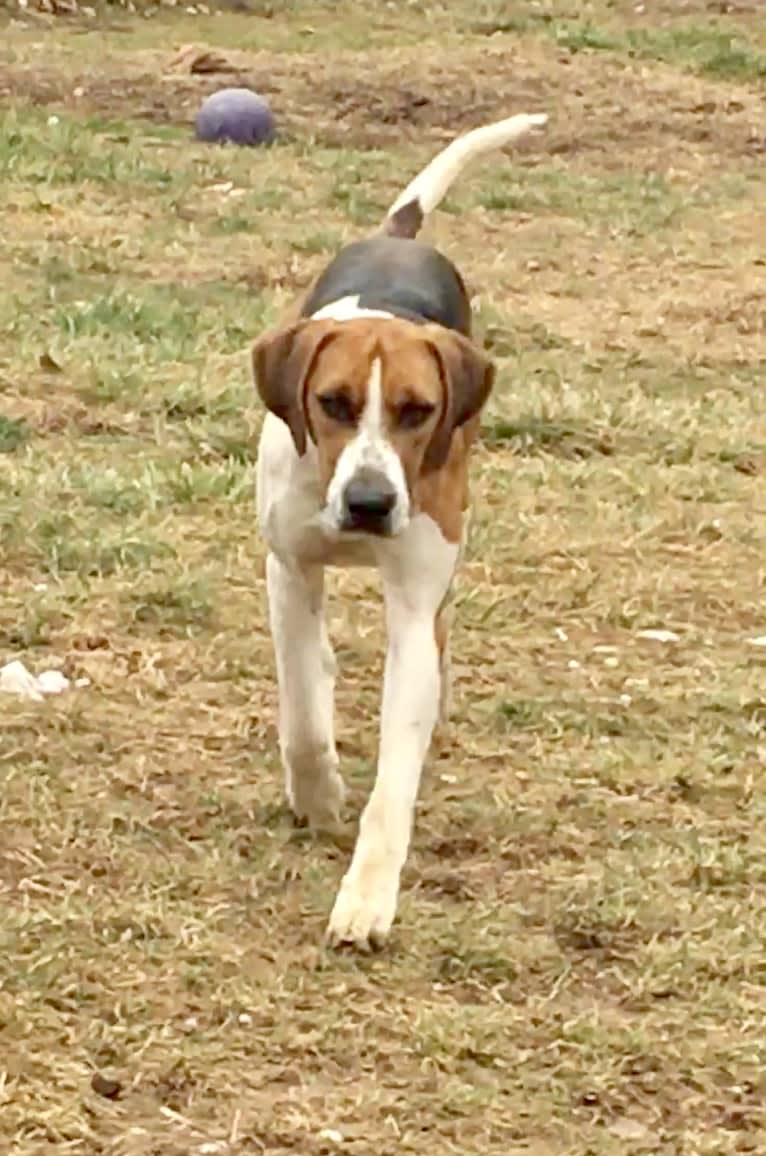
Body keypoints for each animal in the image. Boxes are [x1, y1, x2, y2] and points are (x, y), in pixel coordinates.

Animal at [251, 110, 545, 947]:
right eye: (334, 403)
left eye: (417, 411)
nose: (371, 503)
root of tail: (399, 237)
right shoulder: (289, 569)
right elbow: (302, 708)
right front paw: (318, 794)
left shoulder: (415, 608)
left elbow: (395, 778)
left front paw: (367, 896)